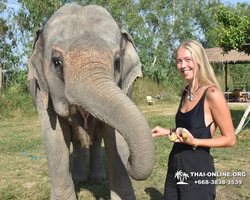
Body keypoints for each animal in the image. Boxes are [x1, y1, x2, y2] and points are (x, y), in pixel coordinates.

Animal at [28, 3, 155, 200]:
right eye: (56, 63)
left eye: (117, 62)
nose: (130, 161)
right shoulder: (41, 91)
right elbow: (55, 138)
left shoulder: (125, 89)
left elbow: (115, 138)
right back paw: (79, 179)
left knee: (95, 139)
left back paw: (96, 178)